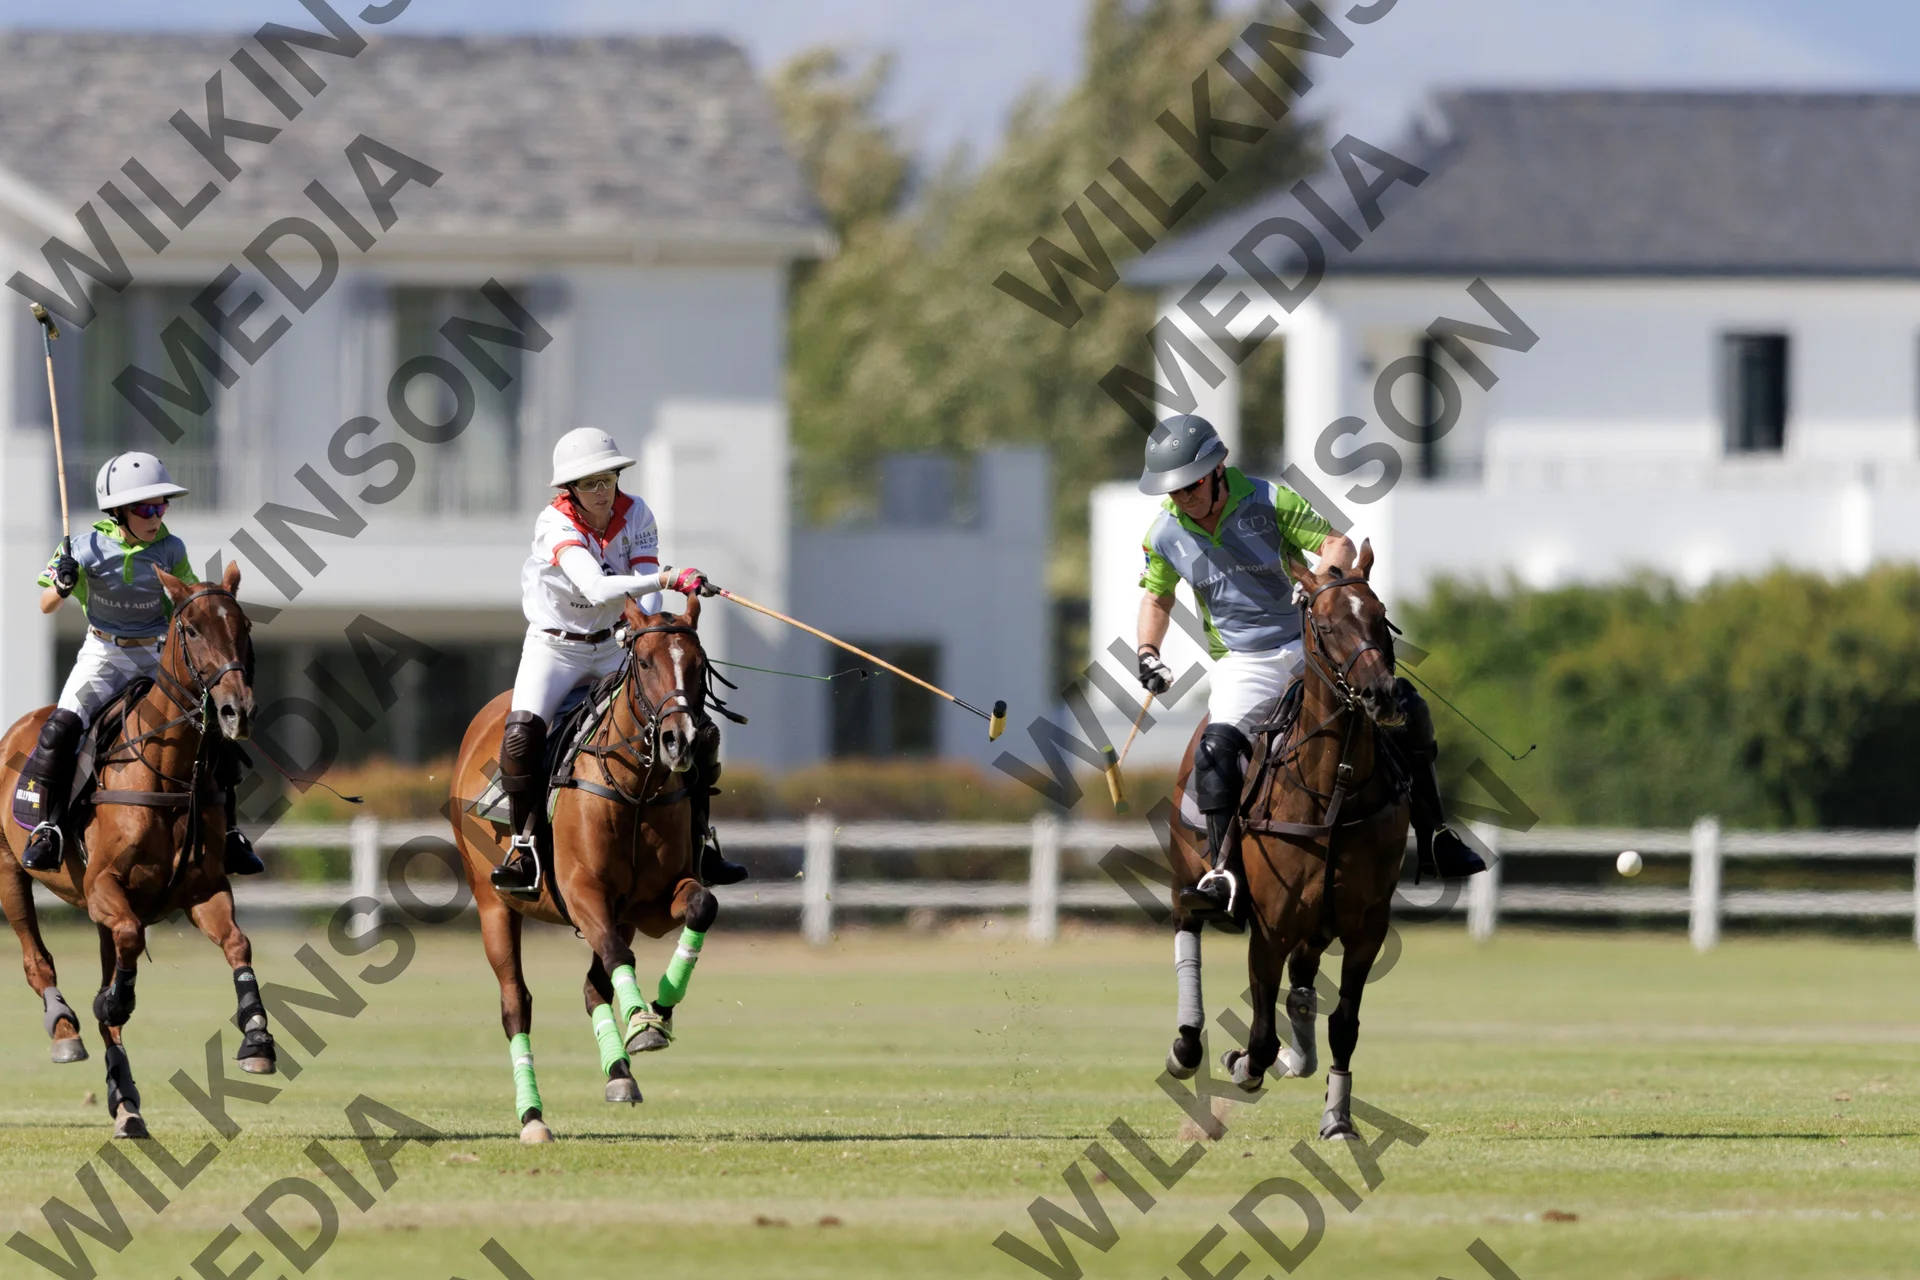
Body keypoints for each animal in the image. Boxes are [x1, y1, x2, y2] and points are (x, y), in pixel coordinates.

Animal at [0, 564, 281, 1138]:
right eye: (191, 629)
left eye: (243, 625)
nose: (236, 710)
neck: (169, 771)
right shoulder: (103, 885)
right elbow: (126, 950)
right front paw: (112, 1002)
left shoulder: (202, 889)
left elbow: (238, 944)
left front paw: (257, 1039)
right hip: (8, 869)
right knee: (38, 960)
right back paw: (66, 1030)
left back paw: (126, 1104)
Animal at [448, 596, 724, 1144]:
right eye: (646, 664)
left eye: (699, 665)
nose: (681, 741)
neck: (636, 788)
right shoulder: (581, 891)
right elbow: (619, 956)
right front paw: (641, 1023)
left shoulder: (649, 905)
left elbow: (701, 906)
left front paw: (658, 1014)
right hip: (493, 905)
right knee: (516, 1004)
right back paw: (533, 1118)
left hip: (618, 914)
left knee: (593, 984)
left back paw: (619, 1074)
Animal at [1164, 541, 1411, 1140]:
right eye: (1324, 624)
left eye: (1381, 617)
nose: (1382, 696)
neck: (1336, 786)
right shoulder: (1270, 926)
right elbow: (1258, 1035)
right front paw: (1242, 1064)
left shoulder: (1366, 926)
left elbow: (1344, 1023)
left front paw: (1338, 1119)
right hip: (1187, 875)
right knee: (1186, 926)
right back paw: (1187, 1046)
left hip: (1317, 924)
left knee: (1301, 988)